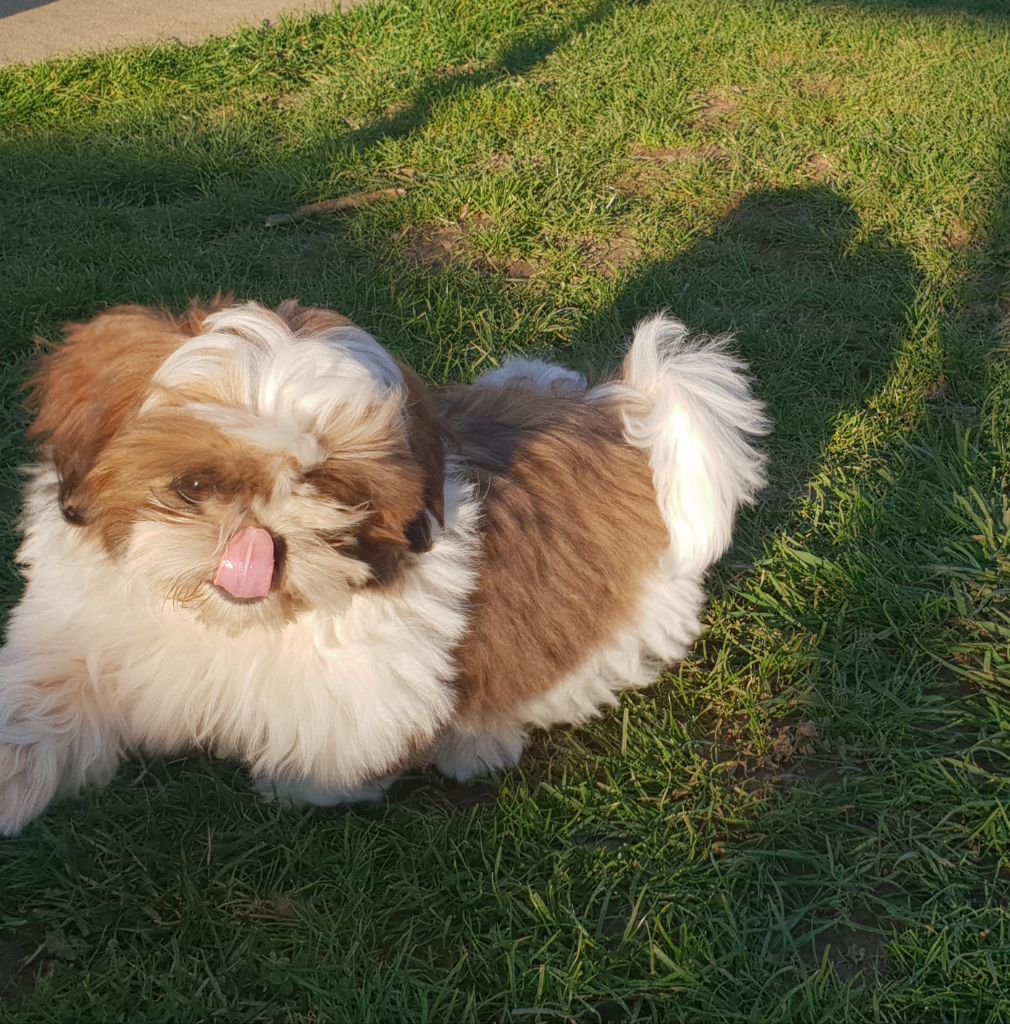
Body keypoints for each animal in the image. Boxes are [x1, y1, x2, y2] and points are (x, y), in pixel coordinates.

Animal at [0, 298, 768, 834]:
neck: (233, 623)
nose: (261, 540)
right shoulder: (84, 631)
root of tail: (623, 411)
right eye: (194, 485)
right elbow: (45, 703)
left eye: (333, 492)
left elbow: (323, 764)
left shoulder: (364, 700)